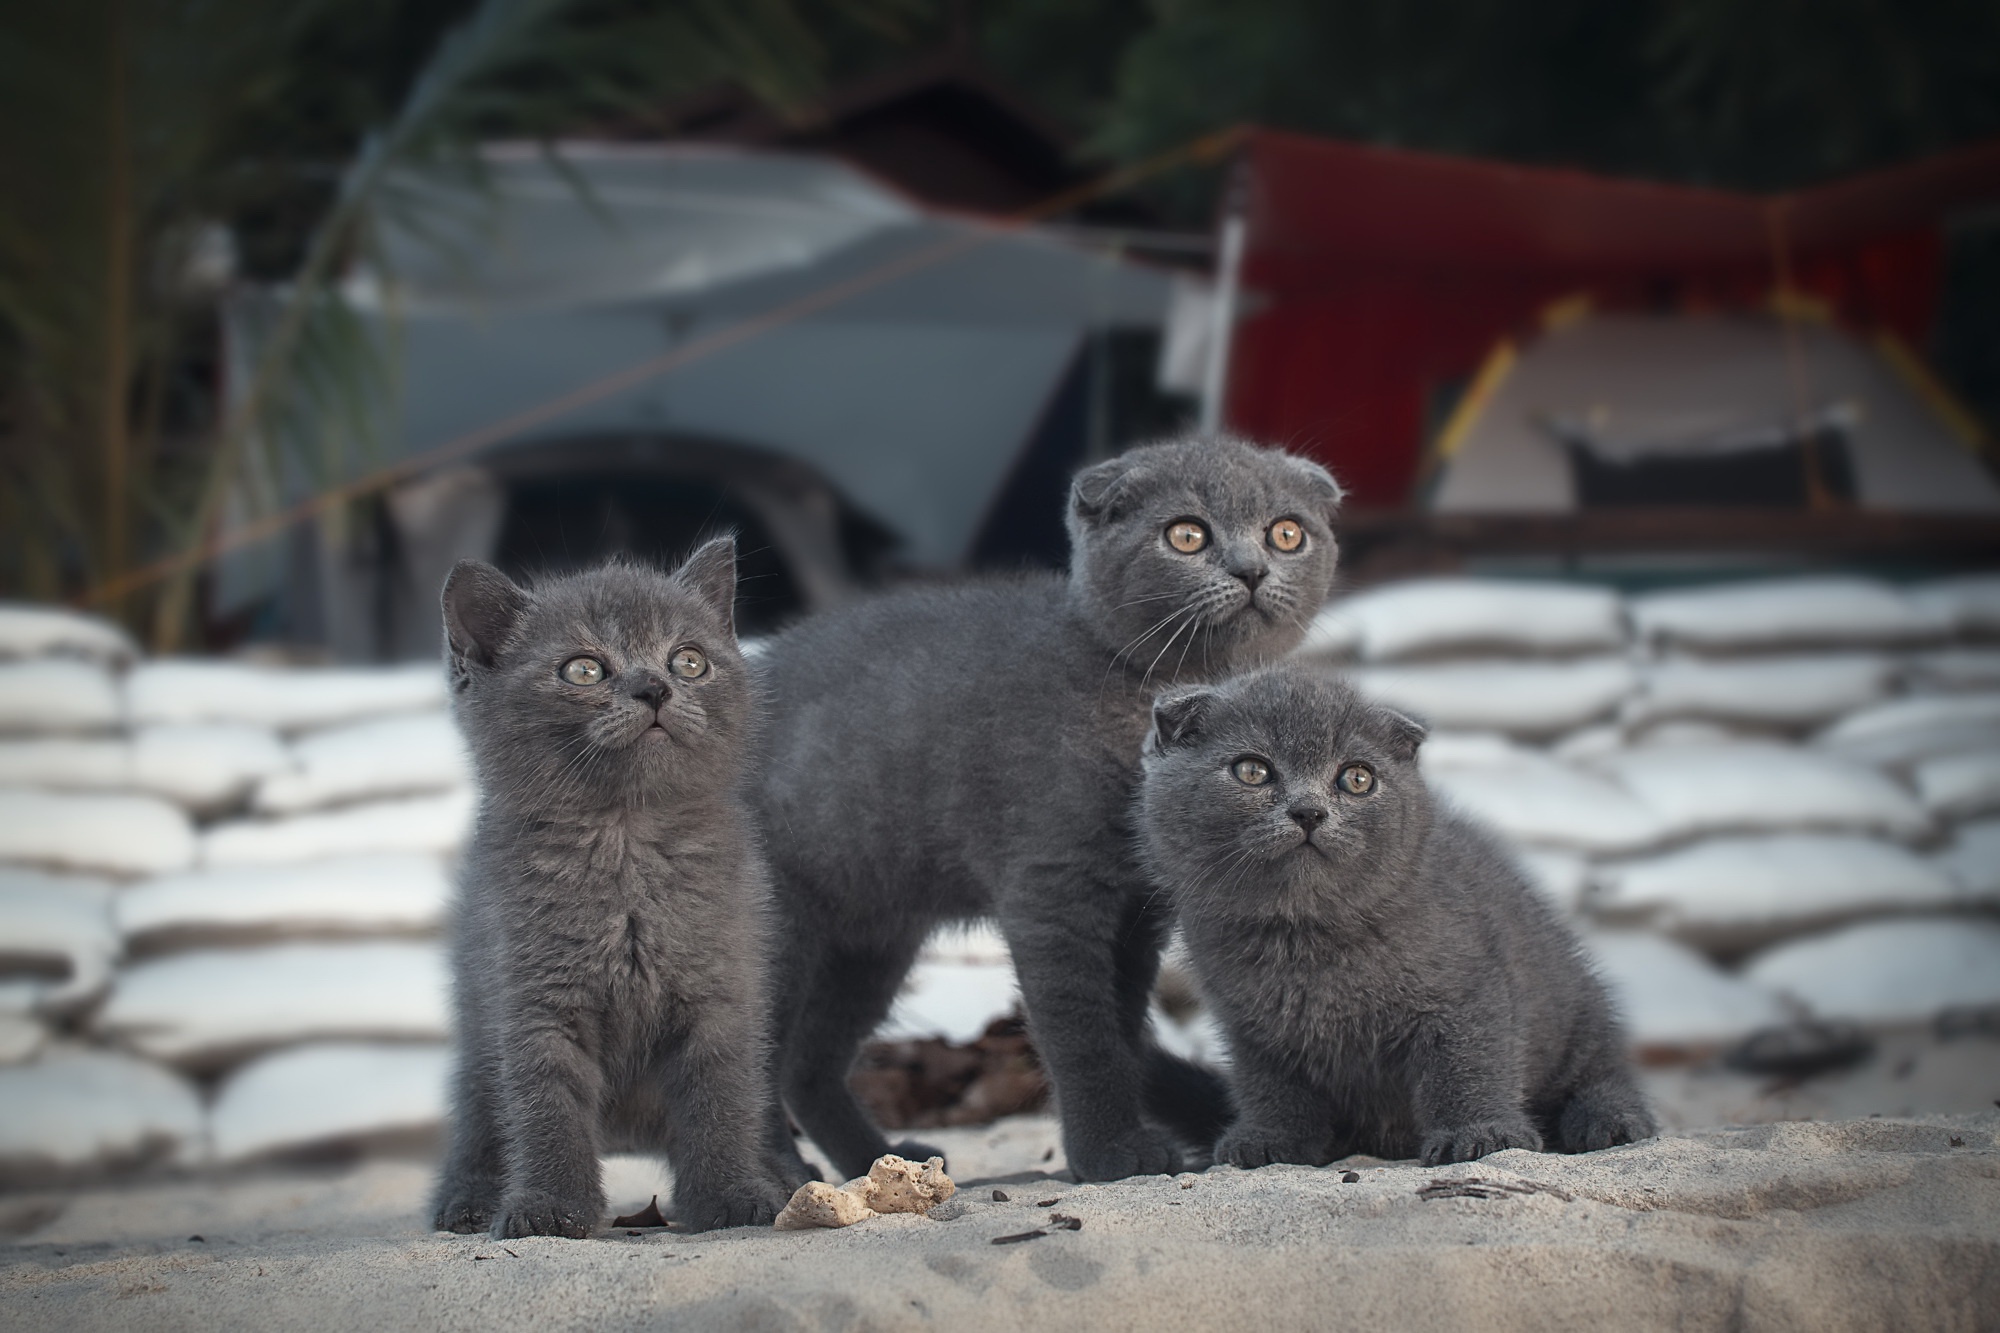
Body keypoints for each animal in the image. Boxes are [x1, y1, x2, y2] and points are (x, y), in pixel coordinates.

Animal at [432, 536, 788, 1232]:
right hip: (477, 1033)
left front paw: (733, 1197)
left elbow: (722, 1099)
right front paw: (552, 1210)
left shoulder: (722, 994)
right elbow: (544, 1109)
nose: (654, 687)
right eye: (584, 671)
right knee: (479, 1122)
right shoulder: (534, 1003)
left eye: (689, 660)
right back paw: (468, 1202)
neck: (627, 843)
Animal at [752, 430, 1344, 1176]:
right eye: (1186, 535)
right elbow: (1082, 1032)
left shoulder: (1140, 910)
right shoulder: (1052, 887)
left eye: (1287, 532)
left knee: (809, 1061)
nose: (1251, 568)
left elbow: (1121, 1020)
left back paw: (877, 1160)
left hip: (871, 931)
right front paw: (1114, 1154)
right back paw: (778, 1173)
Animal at [1144, 664, 1656, 1160]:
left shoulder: (1467, 990)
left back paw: (1607, 1121)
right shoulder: (1250, 1028)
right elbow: (1270, 1086)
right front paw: (1272, 1139)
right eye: (1252, 770)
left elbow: (1469, 1064)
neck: (1303, 937)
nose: (1309, 811)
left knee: (1602, 1075)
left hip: (1573, 1010)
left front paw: (1480, 1134)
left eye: (1357, 778)